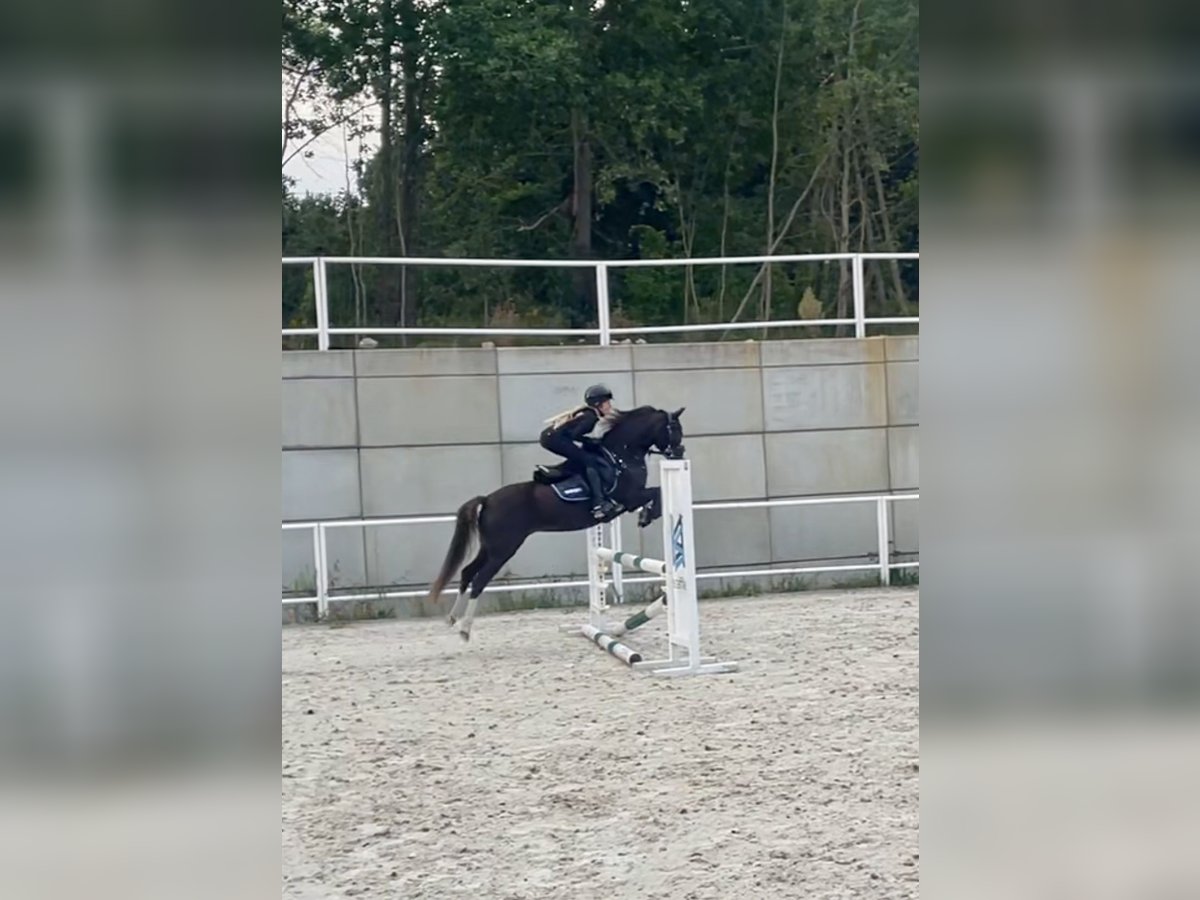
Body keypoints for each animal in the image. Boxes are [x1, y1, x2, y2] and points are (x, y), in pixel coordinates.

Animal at [427, 405, 687, 640]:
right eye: (675, 429)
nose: (680, 452)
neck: (623, 455)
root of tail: (487, 500)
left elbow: (655, 494)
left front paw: (647, 515)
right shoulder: (630, 497)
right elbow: (656, 493)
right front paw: (647, 515)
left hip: (489, 547)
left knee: (467, 573)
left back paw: (452, 619)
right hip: (503, 549)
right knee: (480, 580)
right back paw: (465, 628)